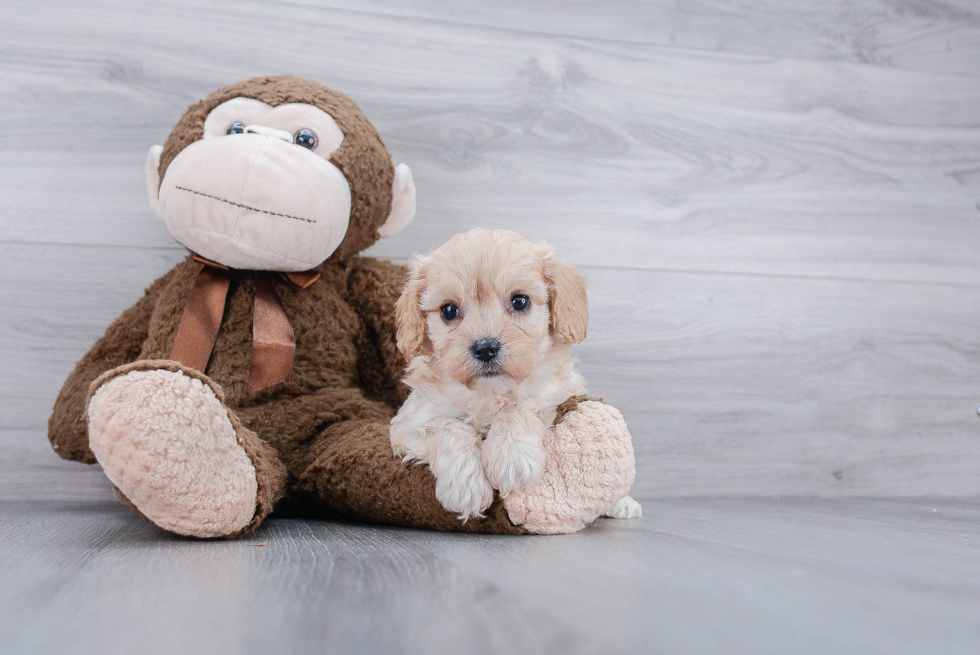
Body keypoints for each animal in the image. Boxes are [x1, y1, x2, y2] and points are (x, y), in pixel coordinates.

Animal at [390, 231, 644, 524]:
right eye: (448, 311)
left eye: (520, 301)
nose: (485, 347)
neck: (491, 392)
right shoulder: (409, 423)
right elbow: (448, 426)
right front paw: (465, 485)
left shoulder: (556, 392)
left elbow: (520, 404)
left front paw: (512, 457)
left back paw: (623, 504)